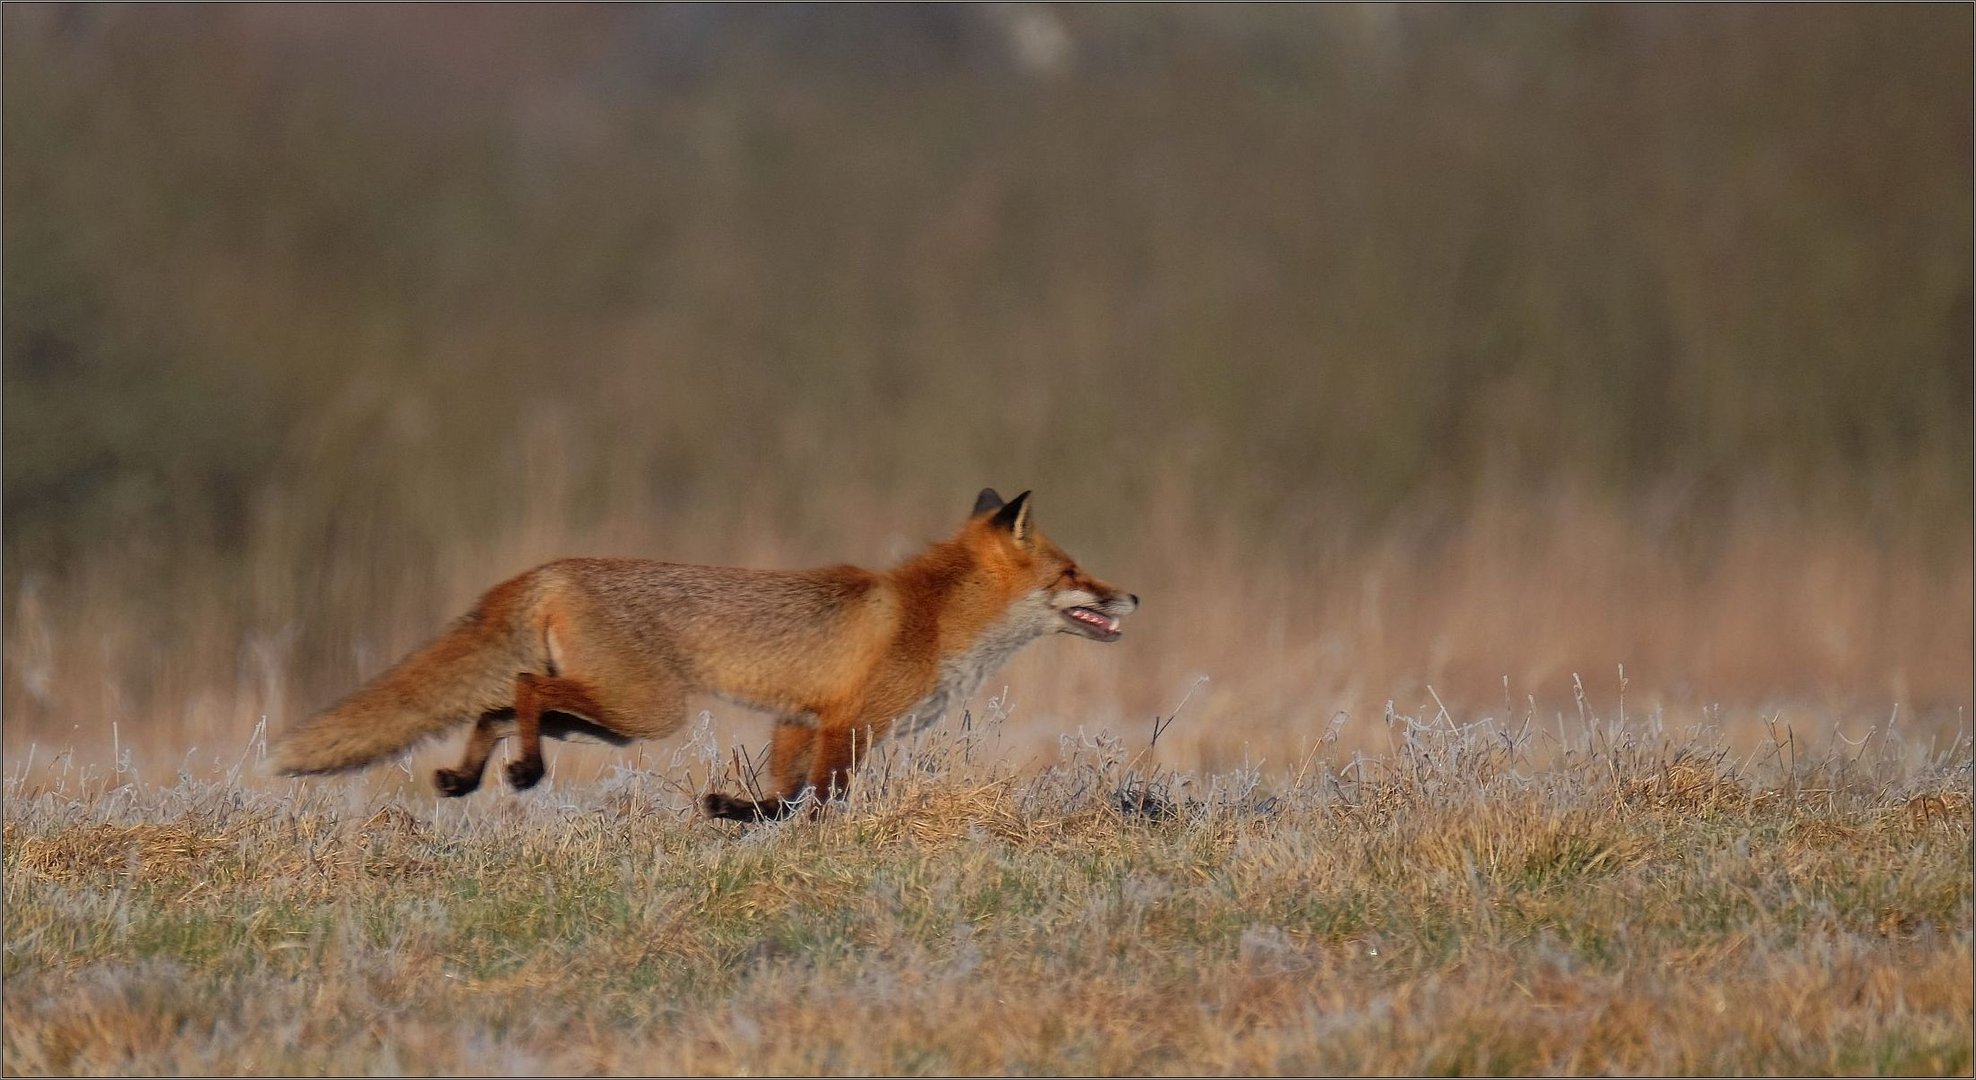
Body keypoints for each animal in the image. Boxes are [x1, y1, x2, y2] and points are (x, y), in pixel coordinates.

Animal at [272, 489, 1153, 821]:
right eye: (1074, 573)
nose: (1135, 598)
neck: (937, 620)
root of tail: (551, 567)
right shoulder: (849, 724)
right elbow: (818, 800)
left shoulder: (799, 722)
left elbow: (782, 795)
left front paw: (735, 812)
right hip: (648, 711)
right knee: (520, 685)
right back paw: (520, 770)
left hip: (619, 715)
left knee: (495, 702)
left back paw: (468, 775)